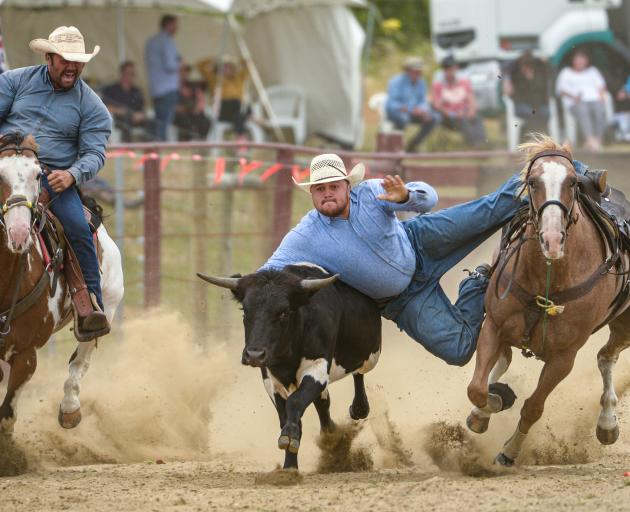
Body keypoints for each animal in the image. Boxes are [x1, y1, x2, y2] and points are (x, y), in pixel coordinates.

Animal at [0, 133, 123, 436]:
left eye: (37, 175)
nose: (18, 232)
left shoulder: (26, 356)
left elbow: (6, 416)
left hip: (107, 307)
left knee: (79, 362)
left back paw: (70, 409)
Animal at [466, 135, 630, 464]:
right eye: (532, 182)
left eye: (572, 183)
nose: (552, 240)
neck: (548, 277)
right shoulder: (493, 326)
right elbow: (477, 388)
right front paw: (488, 406)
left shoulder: (564, 357)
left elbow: (532, 407)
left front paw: (509, 451)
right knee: (504, 360)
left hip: (625, 324)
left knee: (606, 357)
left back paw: (607, 423)